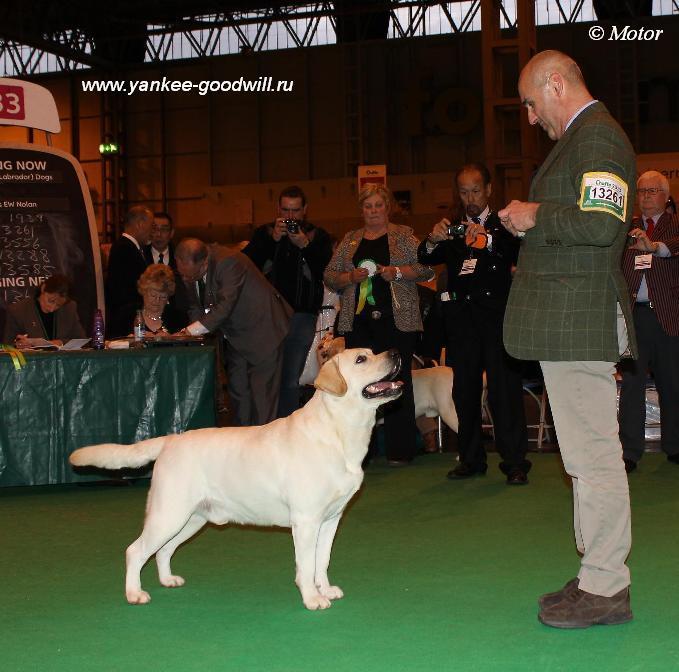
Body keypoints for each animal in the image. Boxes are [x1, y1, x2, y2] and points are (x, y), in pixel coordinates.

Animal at [69, 350, 402, 612]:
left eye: (372, 351)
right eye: (361, 359)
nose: (396, 353)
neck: (338, 431)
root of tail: (170, 440)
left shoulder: (331, 518)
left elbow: (322, 560)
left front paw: (325, 589)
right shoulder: (307, 520)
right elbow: (306, 565)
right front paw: (312, 598)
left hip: (190, 518)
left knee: (163, 550)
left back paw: (167, 580)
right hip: (169, 513)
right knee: (135, 551)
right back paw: (134, 593)